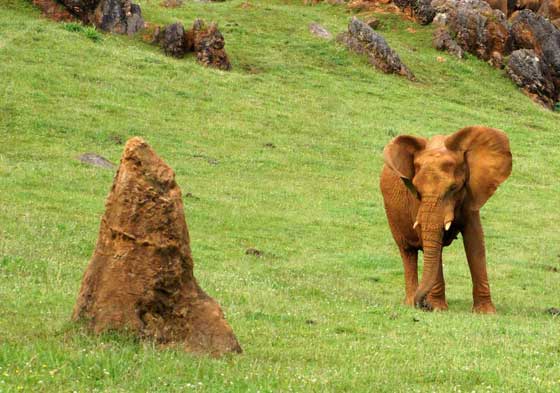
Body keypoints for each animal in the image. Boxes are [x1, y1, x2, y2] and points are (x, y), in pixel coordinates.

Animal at [380, 125, 512, 312]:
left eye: (453, 188)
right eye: (417, 191)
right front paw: (438, 308)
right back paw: (410, 303)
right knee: (408, 252)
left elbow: (475, 241)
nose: (424, 305)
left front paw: (485, 312)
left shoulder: (470, 194)